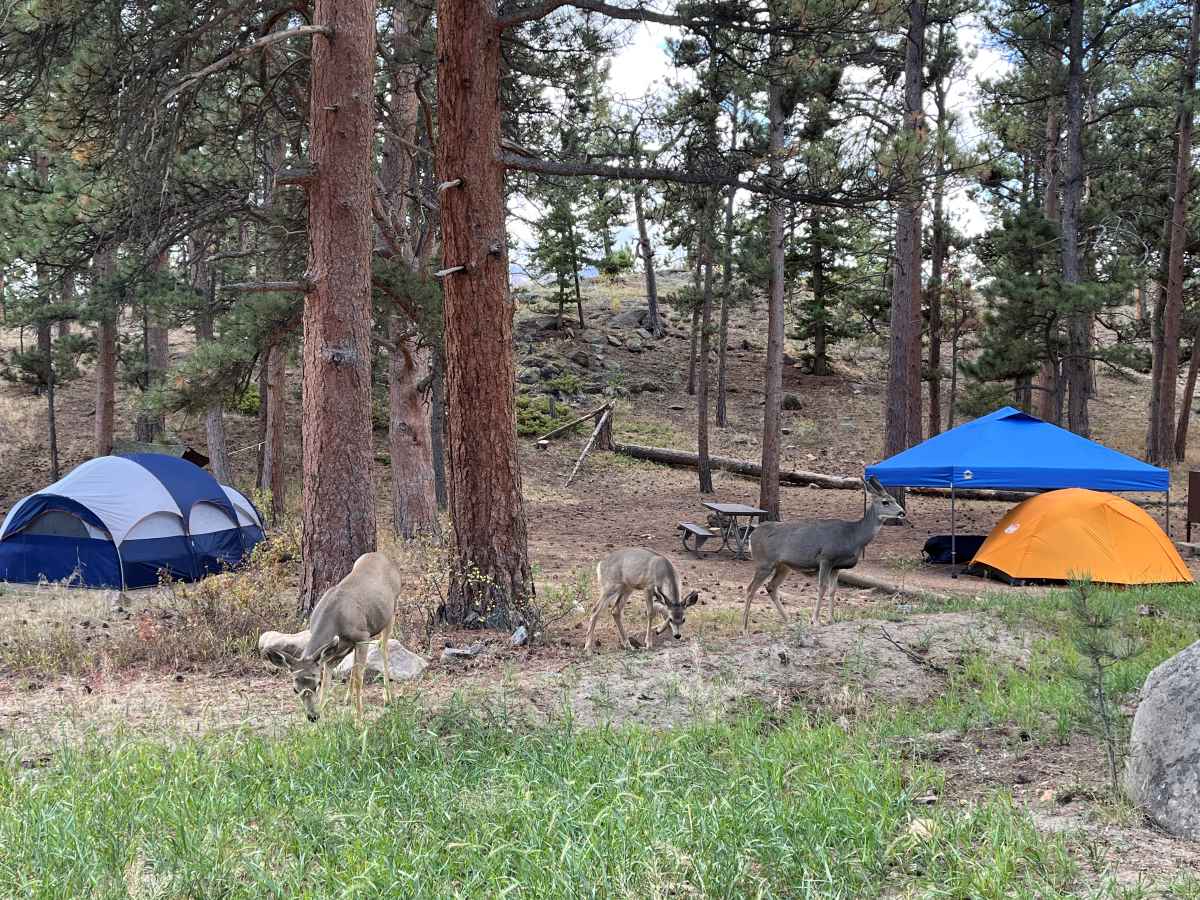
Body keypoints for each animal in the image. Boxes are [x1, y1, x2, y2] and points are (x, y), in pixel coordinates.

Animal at [268, 552, 401, 722]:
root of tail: (382, 556)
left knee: (383, 648)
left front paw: (359, 720)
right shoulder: (334, 649)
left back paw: (387, 698)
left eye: (315, 684)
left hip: (391, 613)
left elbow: (358, 680)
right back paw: (348, 698)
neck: (334, 619)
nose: (312, 716)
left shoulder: (363, 636)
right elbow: (329, 679)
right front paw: (322, 716)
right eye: (295, 689)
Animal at [742, 477, 907, 633]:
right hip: (764, 562)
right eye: (885, 502)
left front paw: (831, 620)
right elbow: (822, 587)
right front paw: (815, 620)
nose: (902, 512)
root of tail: (752, 535)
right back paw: (744, 629)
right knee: (750, 589)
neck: (853, 536)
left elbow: (833, 590)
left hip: (783, 565)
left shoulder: (837, 566)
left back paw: (790, 621)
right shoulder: (826, 557)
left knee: (771, 587)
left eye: (895, 499)